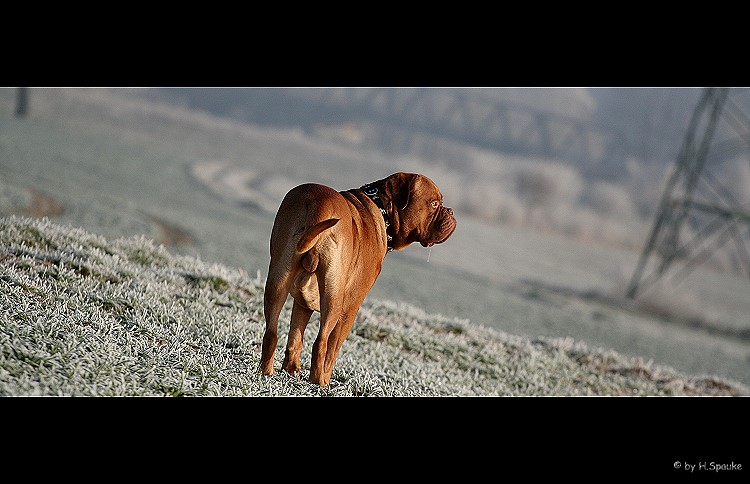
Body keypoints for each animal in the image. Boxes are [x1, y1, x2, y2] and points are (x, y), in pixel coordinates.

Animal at [258, 172, 458, 388]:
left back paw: (266, 372)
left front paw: (291, 371)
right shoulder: (350, 310)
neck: (382, 210)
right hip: (334, 299)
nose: (451, 212)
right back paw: (320, 383)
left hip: (278, 280)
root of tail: (320, 206)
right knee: (322, 343)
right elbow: (331, 352)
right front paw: (322, 379)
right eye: (434, 204)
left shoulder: (303, 303)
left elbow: (296, 337)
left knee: (272, 332)